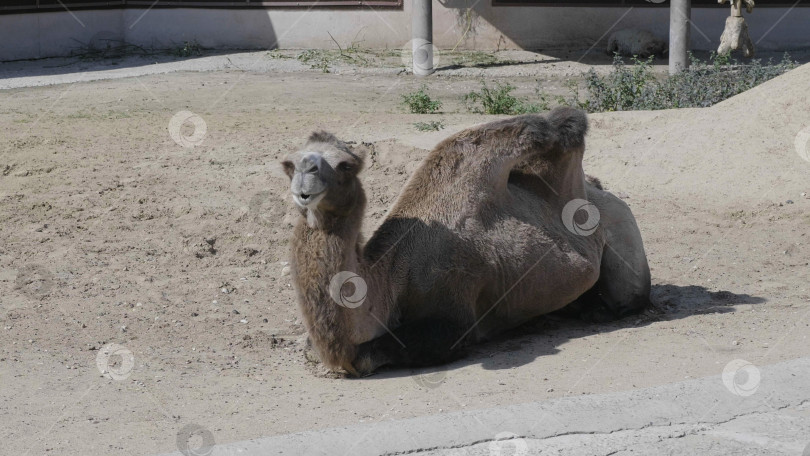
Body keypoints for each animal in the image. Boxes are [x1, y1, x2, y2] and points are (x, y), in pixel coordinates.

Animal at [280, 108, 648, 378]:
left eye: (345, 165)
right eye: (290, 163)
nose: (306, 175)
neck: (389, 277)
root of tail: (600, 189)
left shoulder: (453, 314)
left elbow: (371, 355)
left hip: (623, 229)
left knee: (627, 296)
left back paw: (594, 310)